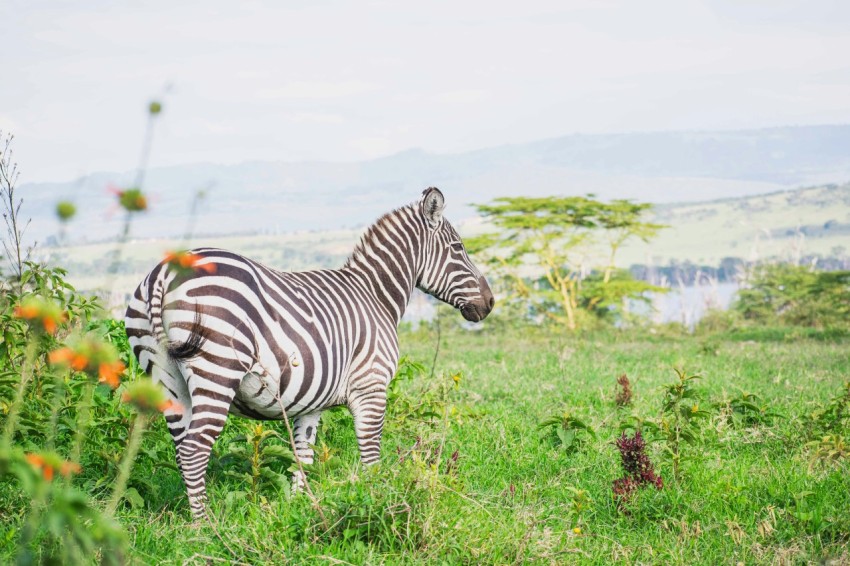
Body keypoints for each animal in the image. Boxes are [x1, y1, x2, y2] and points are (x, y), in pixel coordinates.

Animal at [127, 187, 496, 520]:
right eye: (459, 248)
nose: (490, 303)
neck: (375, 296)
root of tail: (164, 271)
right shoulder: (371, 386)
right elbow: (371, 456)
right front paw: (378, 505)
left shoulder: (311, 403)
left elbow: (302, 457)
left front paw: (299, 511)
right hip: (218, 368)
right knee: (194, 449)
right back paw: (204, 526)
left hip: (165, 377)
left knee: (181, 448)